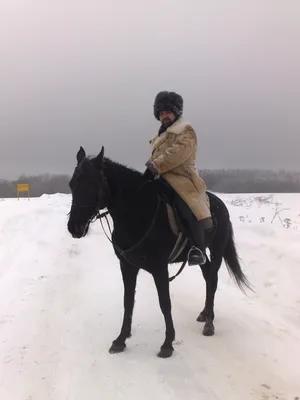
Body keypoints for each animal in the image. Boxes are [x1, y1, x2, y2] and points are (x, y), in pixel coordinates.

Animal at [67, 145, 252, 358]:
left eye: (94, 183)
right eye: (72, 184)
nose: (74, 227)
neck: (137, 212)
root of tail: (220, 204)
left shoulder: (159, 268)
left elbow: (165, 303)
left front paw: (167, 344)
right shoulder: (127, 266)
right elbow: (128, 301)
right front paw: (121, 340)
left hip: (216, 251)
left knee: (212, 281)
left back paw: (209, 324)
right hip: (203, 255)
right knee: (208, 279)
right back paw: (204, 314)